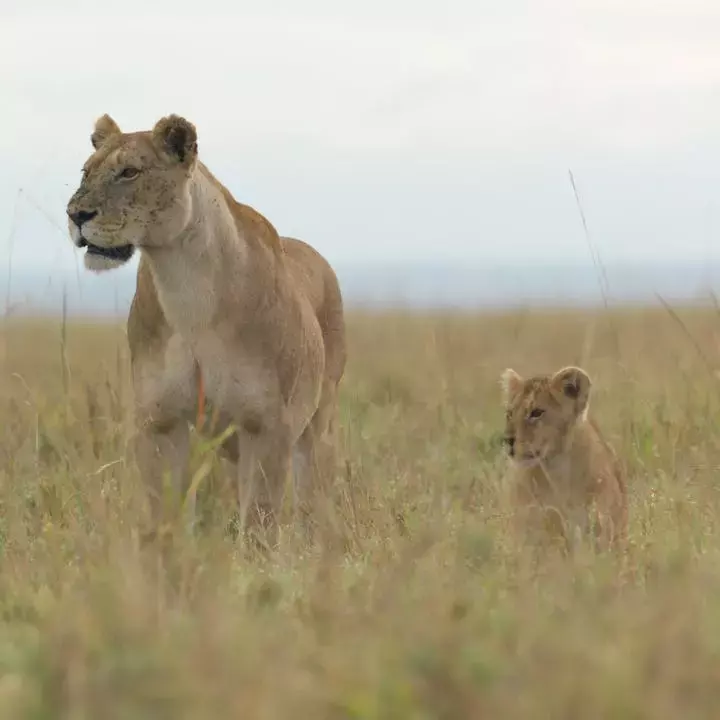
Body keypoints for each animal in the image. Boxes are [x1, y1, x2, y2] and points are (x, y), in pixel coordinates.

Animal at [65, 113, 347, 545]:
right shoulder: (161, 421)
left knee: (311, 497)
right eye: (86, 171)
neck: (185, 287)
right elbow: (166, 514)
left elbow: (259, 523)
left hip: (318, 424)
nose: (75, 215)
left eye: (129, 172)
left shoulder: (268, 426)